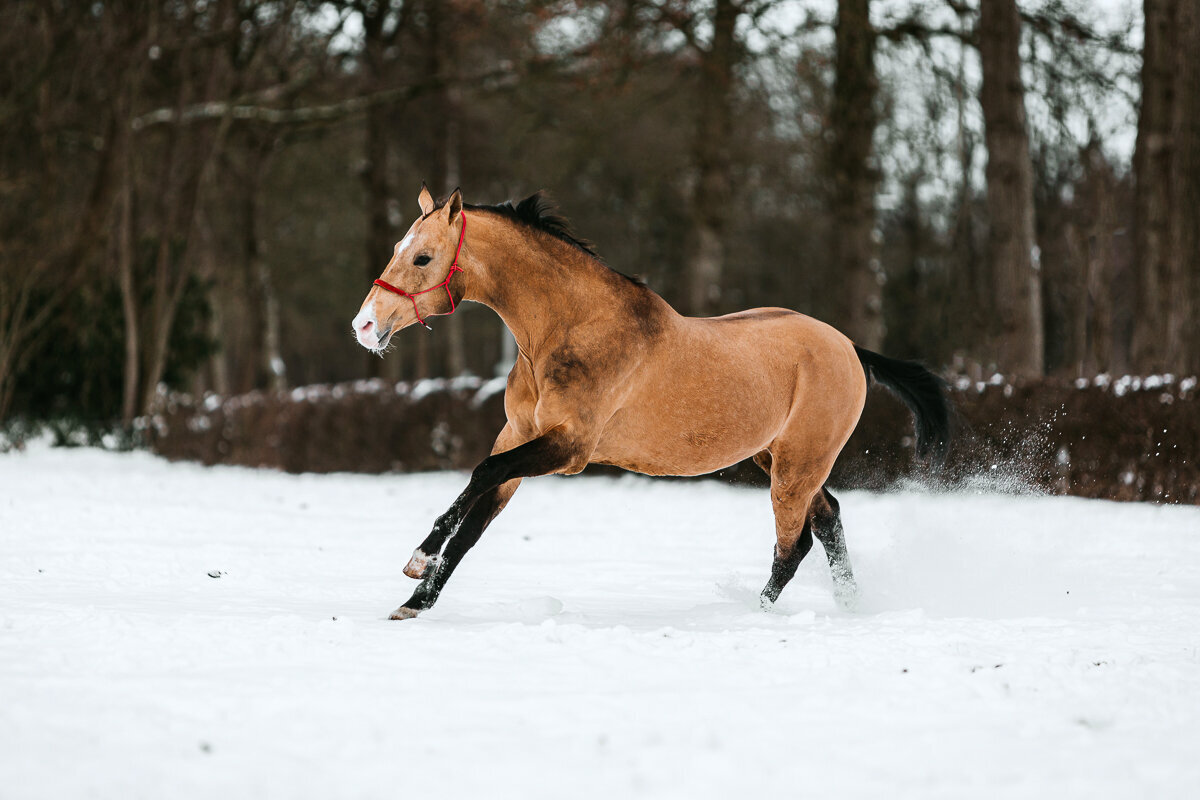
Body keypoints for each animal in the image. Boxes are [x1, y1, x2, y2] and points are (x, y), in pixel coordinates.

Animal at [350, 185, 950, 618]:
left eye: (423, 257)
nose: (364, 326)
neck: (568, 330)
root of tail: (848, 346)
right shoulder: (520, 436)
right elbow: (475, 519)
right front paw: (414, 601)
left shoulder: (568, 449)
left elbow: (480, 474)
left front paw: (417, 562)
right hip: (776, 458)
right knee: (828, 522)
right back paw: (849, 606)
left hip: (797, 465)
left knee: (795, 542)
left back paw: (753, 613)